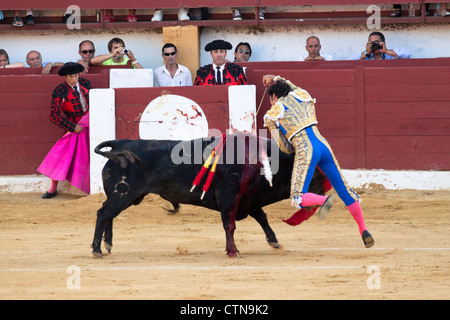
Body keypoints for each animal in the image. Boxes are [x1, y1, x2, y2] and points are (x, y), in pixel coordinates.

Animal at [91, 132, 326, 258]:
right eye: (313, 175)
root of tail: (121, 143)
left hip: (123, 197)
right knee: (103, 214)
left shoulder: (248, 200)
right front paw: (233, 251)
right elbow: (229, 225)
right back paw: (97, 249)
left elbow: (262, 218)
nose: (324, 197)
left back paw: (108, 245)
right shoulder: (229, 198)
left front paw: (274, 242)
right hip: (122, 194)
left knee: (108, 215)